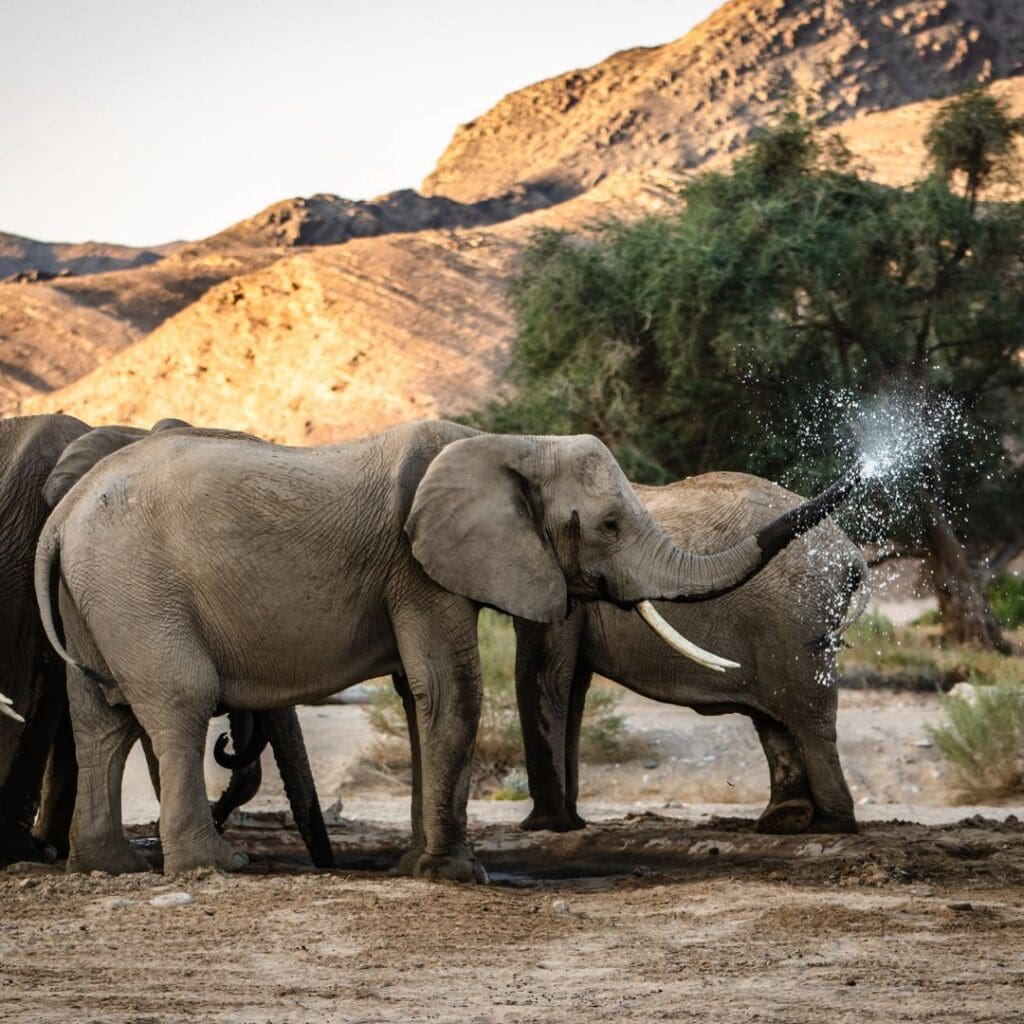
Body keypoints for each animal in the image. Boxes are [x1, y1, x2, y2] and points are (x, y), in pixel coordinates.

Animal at [516, 471, 868, 839]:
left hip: (793, 616)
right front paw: (569, 824)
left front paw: (545, 827)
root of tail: (852, 554)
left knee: (808, 716)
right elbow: (570, 685)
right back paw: (786, 819)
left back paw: (830, 825)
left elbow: (548, 674)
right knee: (777, 716)